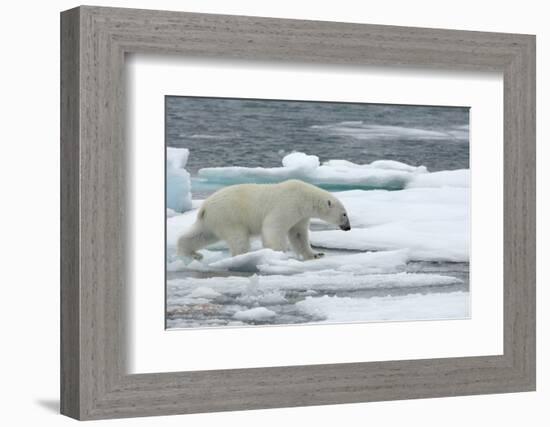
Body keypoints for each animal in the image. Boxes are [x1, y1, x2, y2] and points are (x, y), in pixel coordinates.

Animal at [177, 180, 352, 260]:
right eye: (344, 214)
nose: (348, 227)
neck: (305, 197)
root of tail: (204, 206)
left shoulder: (300, 216)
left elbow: (298, 235)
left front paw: (316, 254)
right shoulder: (288, 204)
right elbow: (273, 227)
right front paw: (279, 252)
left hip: (213, 219)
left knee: (201, 234)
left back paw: (191, 253)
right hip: (229, 216)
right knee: (238, 238)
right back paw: (243, 256)